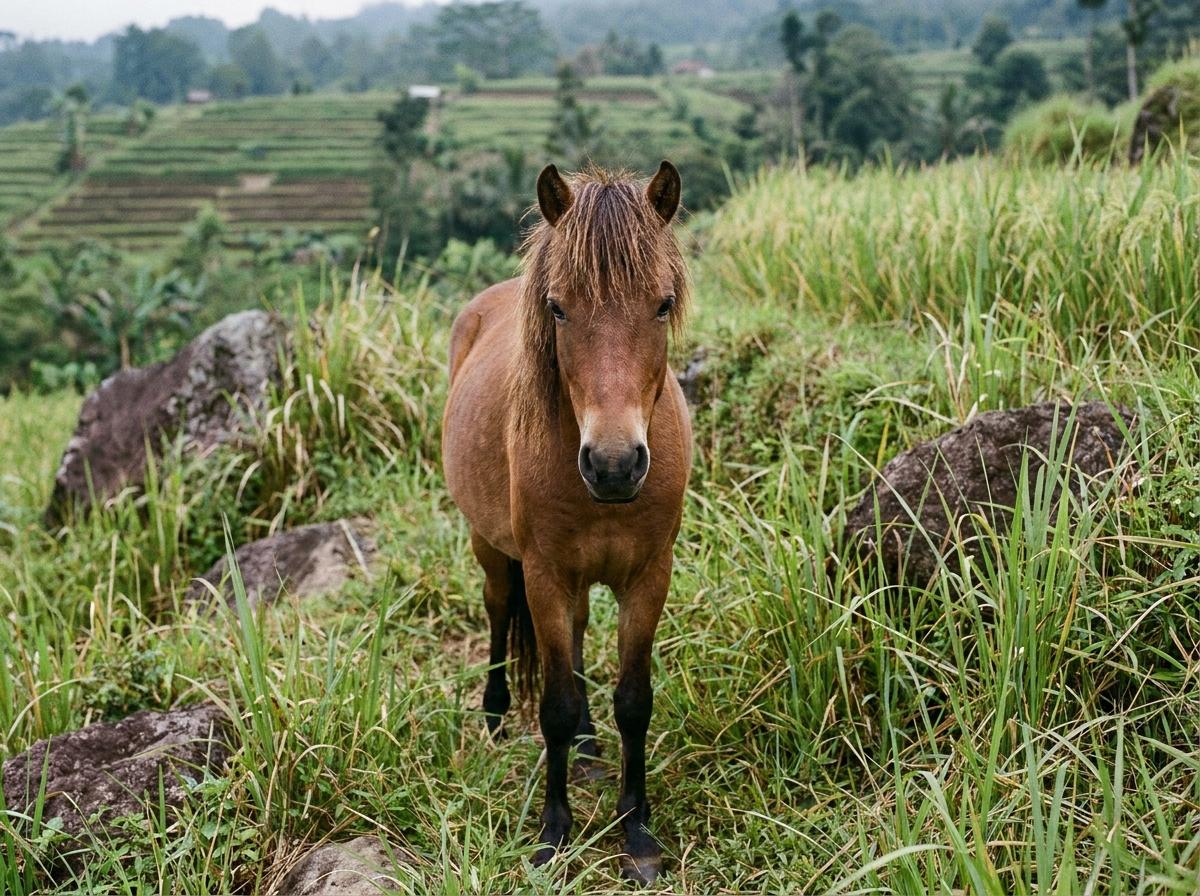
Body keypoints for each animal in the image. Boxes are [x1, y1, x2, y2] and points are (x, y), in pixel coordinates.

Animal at [441, 161, 691, 884]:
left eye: (662, 303)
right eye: (558, 308)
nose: (613, 464)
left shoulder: (648, 576)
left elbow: (633, 701)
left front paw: (637, 833)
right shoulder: (546, 575)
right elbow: (551, 705)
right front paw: (553, 835)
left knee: (576, 639)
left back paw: (586, 747)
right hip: (492, 549)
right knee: (499, 609)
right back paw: (496, 716)